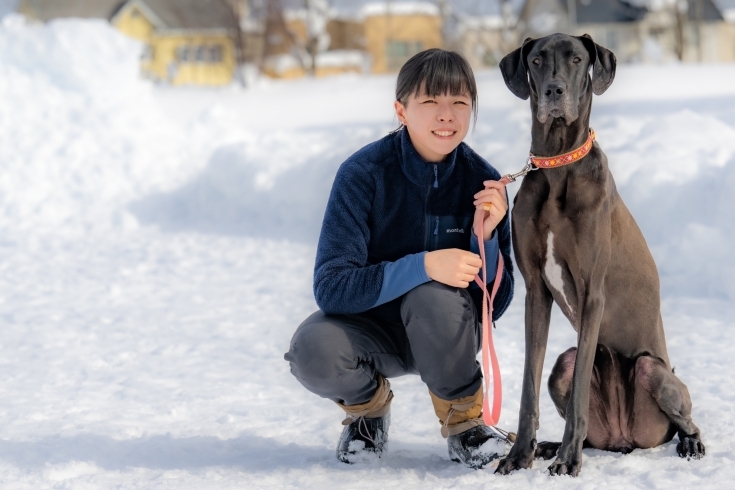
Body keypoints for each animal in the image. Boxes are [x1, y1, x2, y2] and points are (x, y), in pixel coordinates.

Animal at [494, 34, 708, 478]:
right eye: (536, 60)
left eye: (577, 59)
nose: (553, 91)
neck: (557, 167)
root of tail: (624, 439)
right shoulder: (535, 291)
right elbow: (527, 388)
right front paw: (520, 455)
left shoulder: (593, 292)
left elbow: (577, 397)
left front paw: (569, 461)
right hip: (564, 364)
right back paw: (550, 446)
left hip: (654, 372)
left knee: (685, 421)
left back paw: (689, 443)